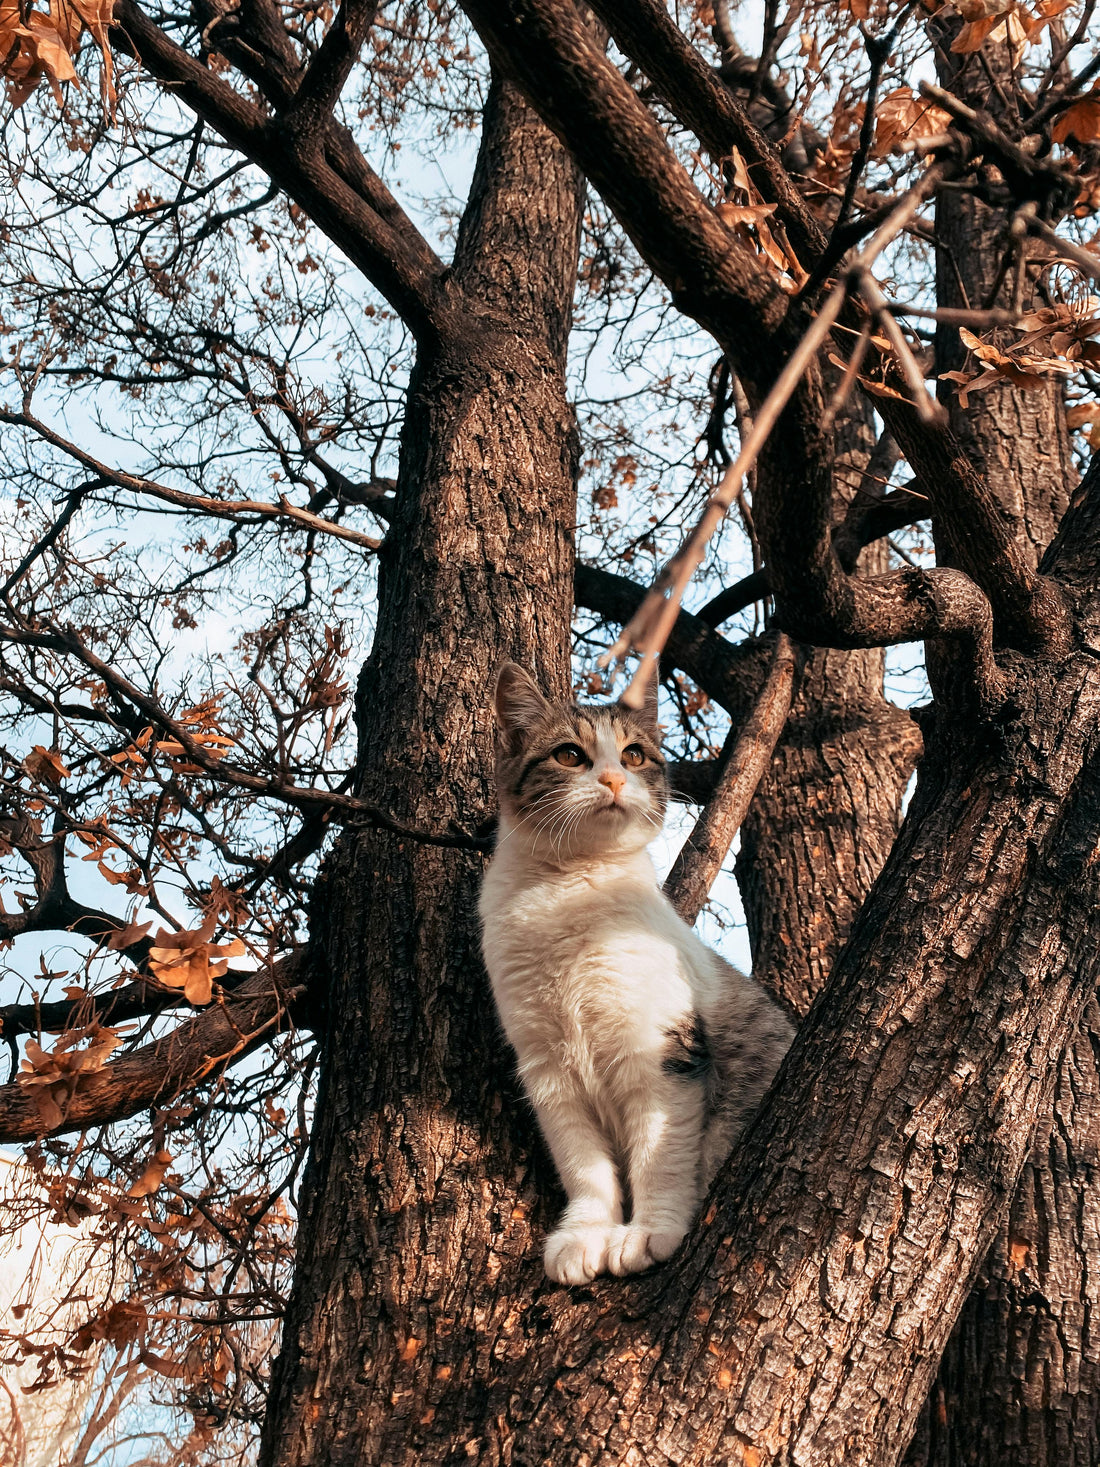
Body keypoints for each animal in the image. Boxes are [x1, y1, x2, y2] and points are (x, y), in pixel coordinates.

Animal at [478, 666, 797, 1285]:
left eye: (632, 754)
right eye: (570, 755)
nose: (612, 779)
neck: (569, 890)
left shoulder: (661, 1050)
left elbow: (659, 1153)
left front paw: (650, 1231)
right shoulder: (546, 1067)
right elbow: (584, 1166)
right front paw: (585, 1234)